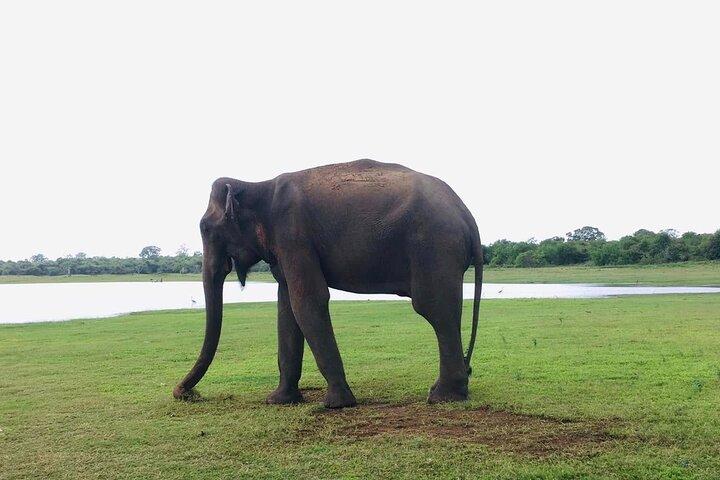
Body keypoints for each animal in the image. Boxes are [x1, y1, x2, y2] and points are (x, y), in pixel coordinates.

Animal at [173, 159, 483, 408]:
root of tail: (468, 216)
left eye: (206, 228)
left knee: (436, 311)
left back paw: (442, 398)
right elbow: (287, 309)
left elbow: (308, 302)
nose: (185, 393)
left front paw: (336, 404)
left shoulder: (293, 234)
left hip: (434, 247)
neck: (258, 185)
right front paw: (278, 401)